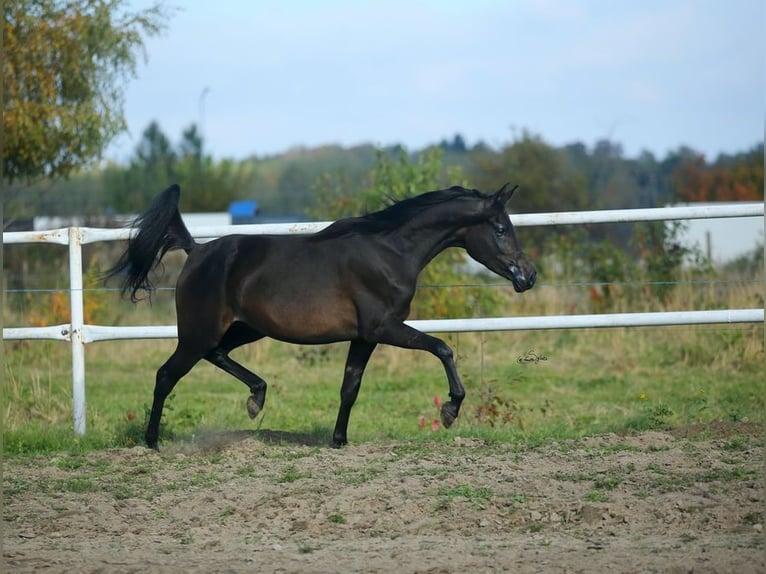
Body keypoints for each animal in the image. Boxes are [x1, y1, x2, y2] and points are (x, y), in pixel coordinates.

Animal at [106, 182, 540, 452]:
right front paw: (450, 411)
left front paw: (339, 440)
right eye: (500, 228)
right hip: (198, 332)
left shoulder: (364, 336)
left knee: (217, 356)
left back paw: (256, 398)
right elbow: (442, 347)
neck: (390, 253)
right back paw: (152, 442)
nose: (528, 276)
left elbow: (350, 387)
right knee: (166, 375)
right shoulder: (384, 327)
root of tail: (196, 251)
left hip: (244, 329)